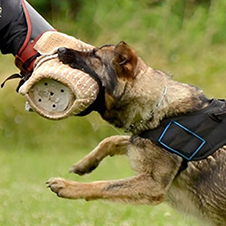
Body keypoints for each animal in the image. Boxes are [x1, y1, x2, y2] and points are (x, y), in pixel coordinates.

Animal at [47, 41, 226, 225]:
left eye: (95, 55)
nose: (60, 49)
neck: (158, 107)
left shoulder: (151, 185)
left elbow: (104, 184)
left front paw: (67, 186)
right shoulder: (139, 141)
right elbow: (112, 139)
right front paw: (84, 163)